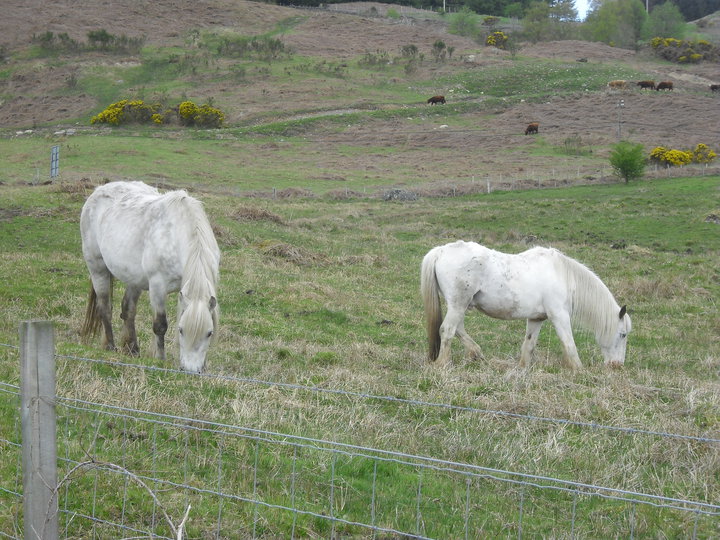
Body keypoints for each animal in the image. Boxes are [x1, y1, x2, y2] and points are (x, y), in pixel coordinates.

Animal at [79, 180, 219, 372]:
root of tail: (99, 190)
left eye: (209, 333)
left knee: (128, 310)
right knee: (105, 308)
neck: (176, 234)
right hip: (97, 269)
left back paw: (132, 349)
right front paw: (160, 359)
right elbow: (160, 325)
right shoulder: (157, 286)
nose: (190, 371)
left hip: (134, 279)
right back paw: (110, 346)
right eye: (181, 330)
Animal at [422, 242, 632, 372]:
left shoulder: (536, 318)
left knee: (457, 329)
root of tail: (440, 251)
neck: (562, 275)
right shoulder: (559, 316)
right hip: (458, 304)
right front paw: (579, 370)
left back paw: (477, 354)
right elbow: (569, 344)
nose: (617, 366)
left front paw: (522, 368)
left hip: (459, 306)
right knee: (447, 330)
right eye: (623, 335)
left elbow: (529, 344)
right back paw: (443, 364)